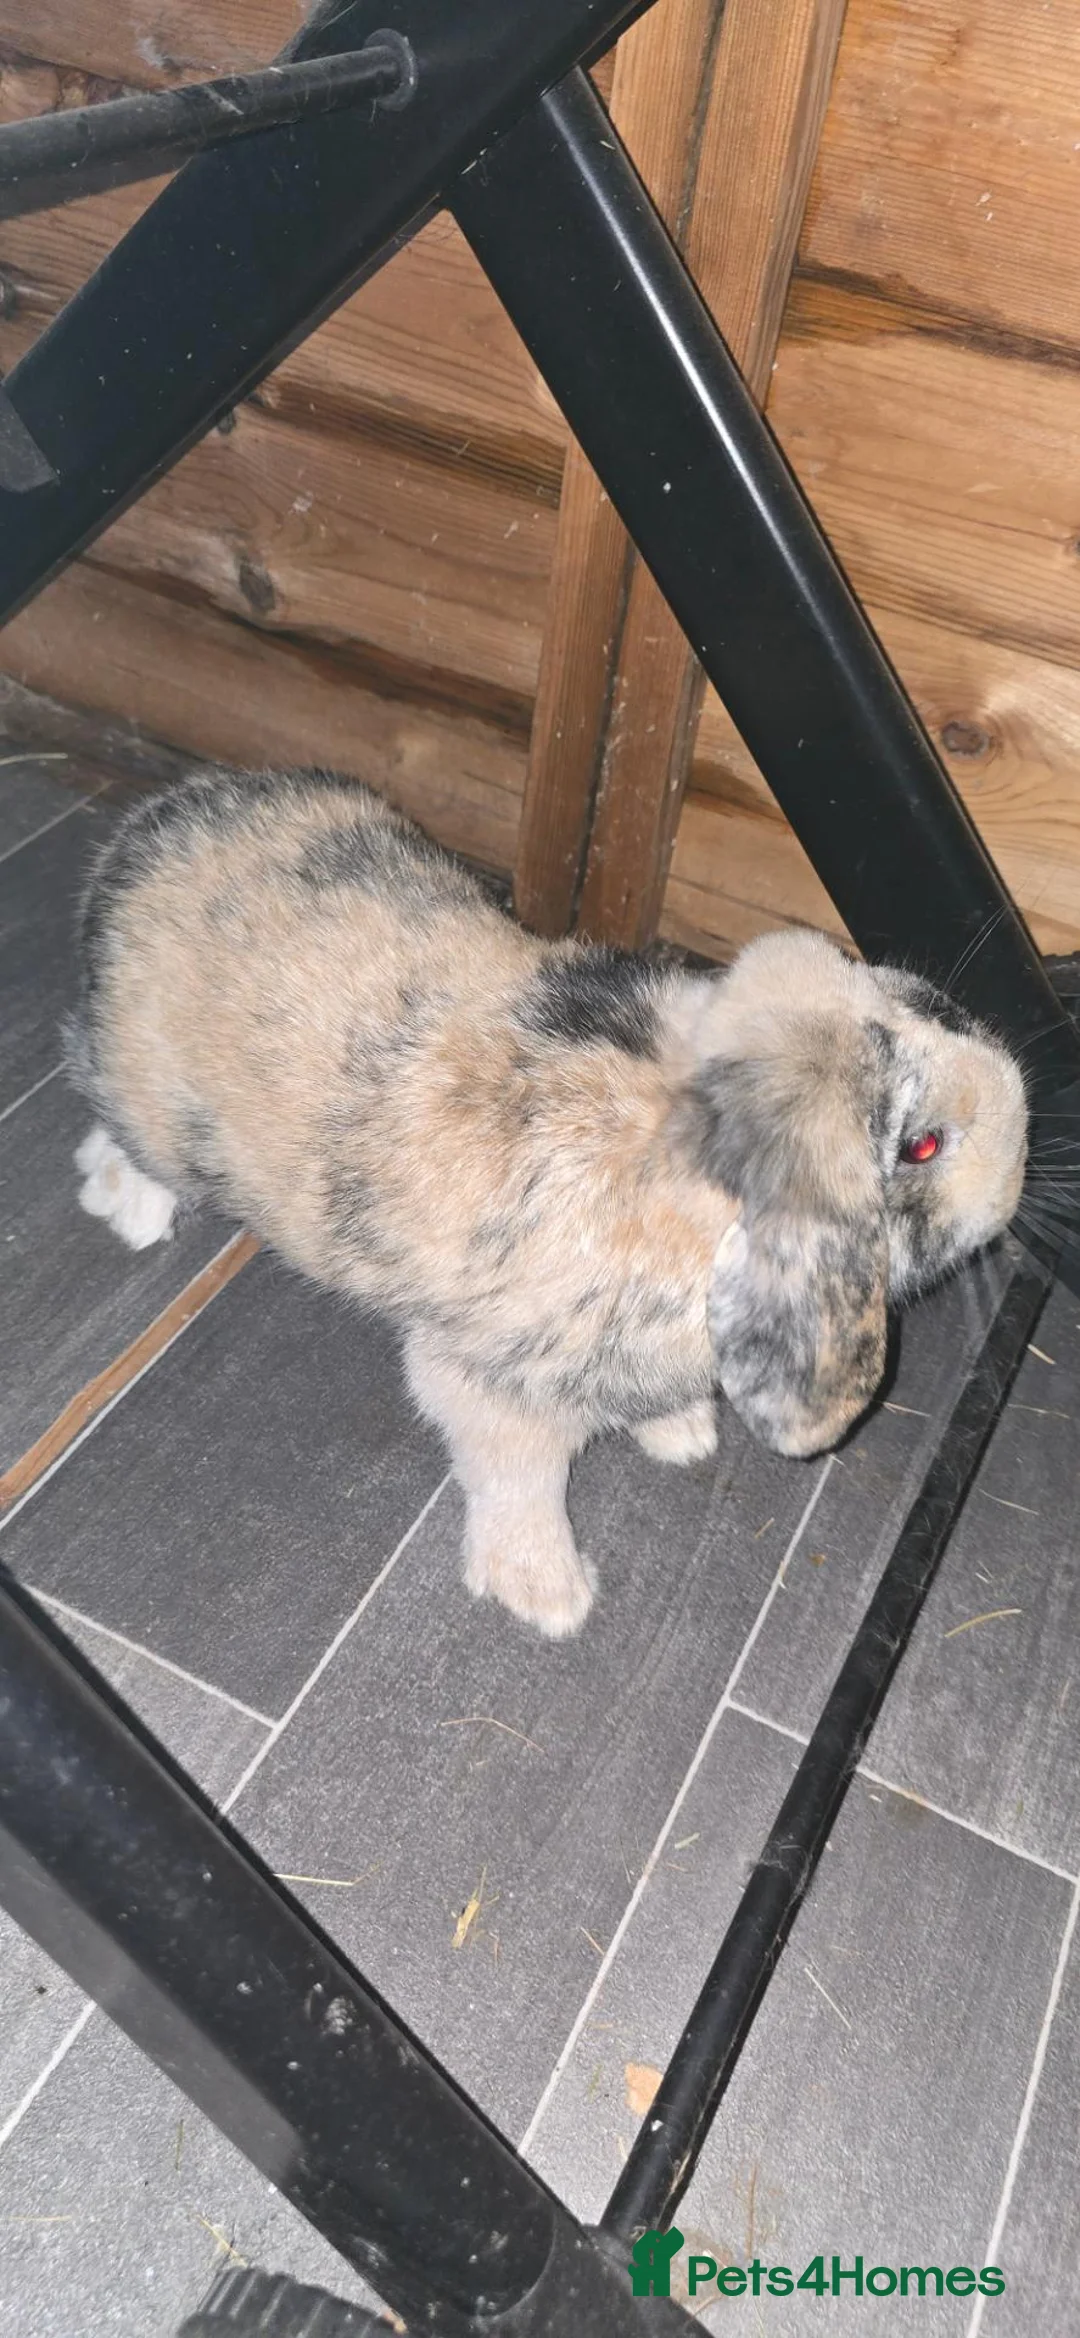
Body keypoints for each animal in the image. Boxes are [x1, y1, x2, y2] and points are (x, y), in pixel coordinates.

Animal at [66, 768, 1028, 1637]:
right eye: (922, 1145)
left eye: (930, 1004)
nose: (1018, 1168)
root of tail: (137, 844)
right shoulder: (493, 1383)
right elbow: (518, 1484)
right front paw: (551, 1600)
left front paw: (684, 1435)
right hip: (158, 1107)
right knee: (115, 1123)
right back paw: (129, 1207)